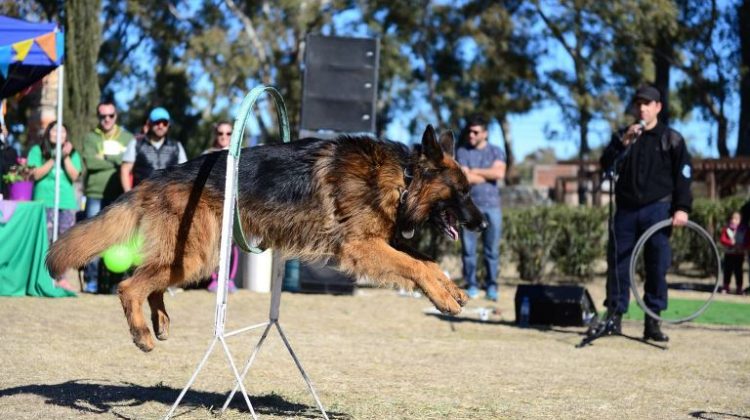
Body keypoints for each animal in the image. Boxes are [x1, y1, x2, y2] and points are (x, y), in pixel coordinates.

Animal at [45, 125, 488, 352]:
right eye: (463, 191)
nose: (483, 224)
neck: (404, 178)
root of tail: (158, 175)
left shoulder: (384, 240)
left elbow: (427, 262)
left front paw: (451, 289)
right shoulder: (363, 247)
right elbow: (415, 265)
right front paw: (444, 297)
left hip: (191, 257)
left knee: (150, 281)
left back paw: (160, 321)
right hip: (195, 257)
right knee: (129, 285)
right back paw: (141, 333)